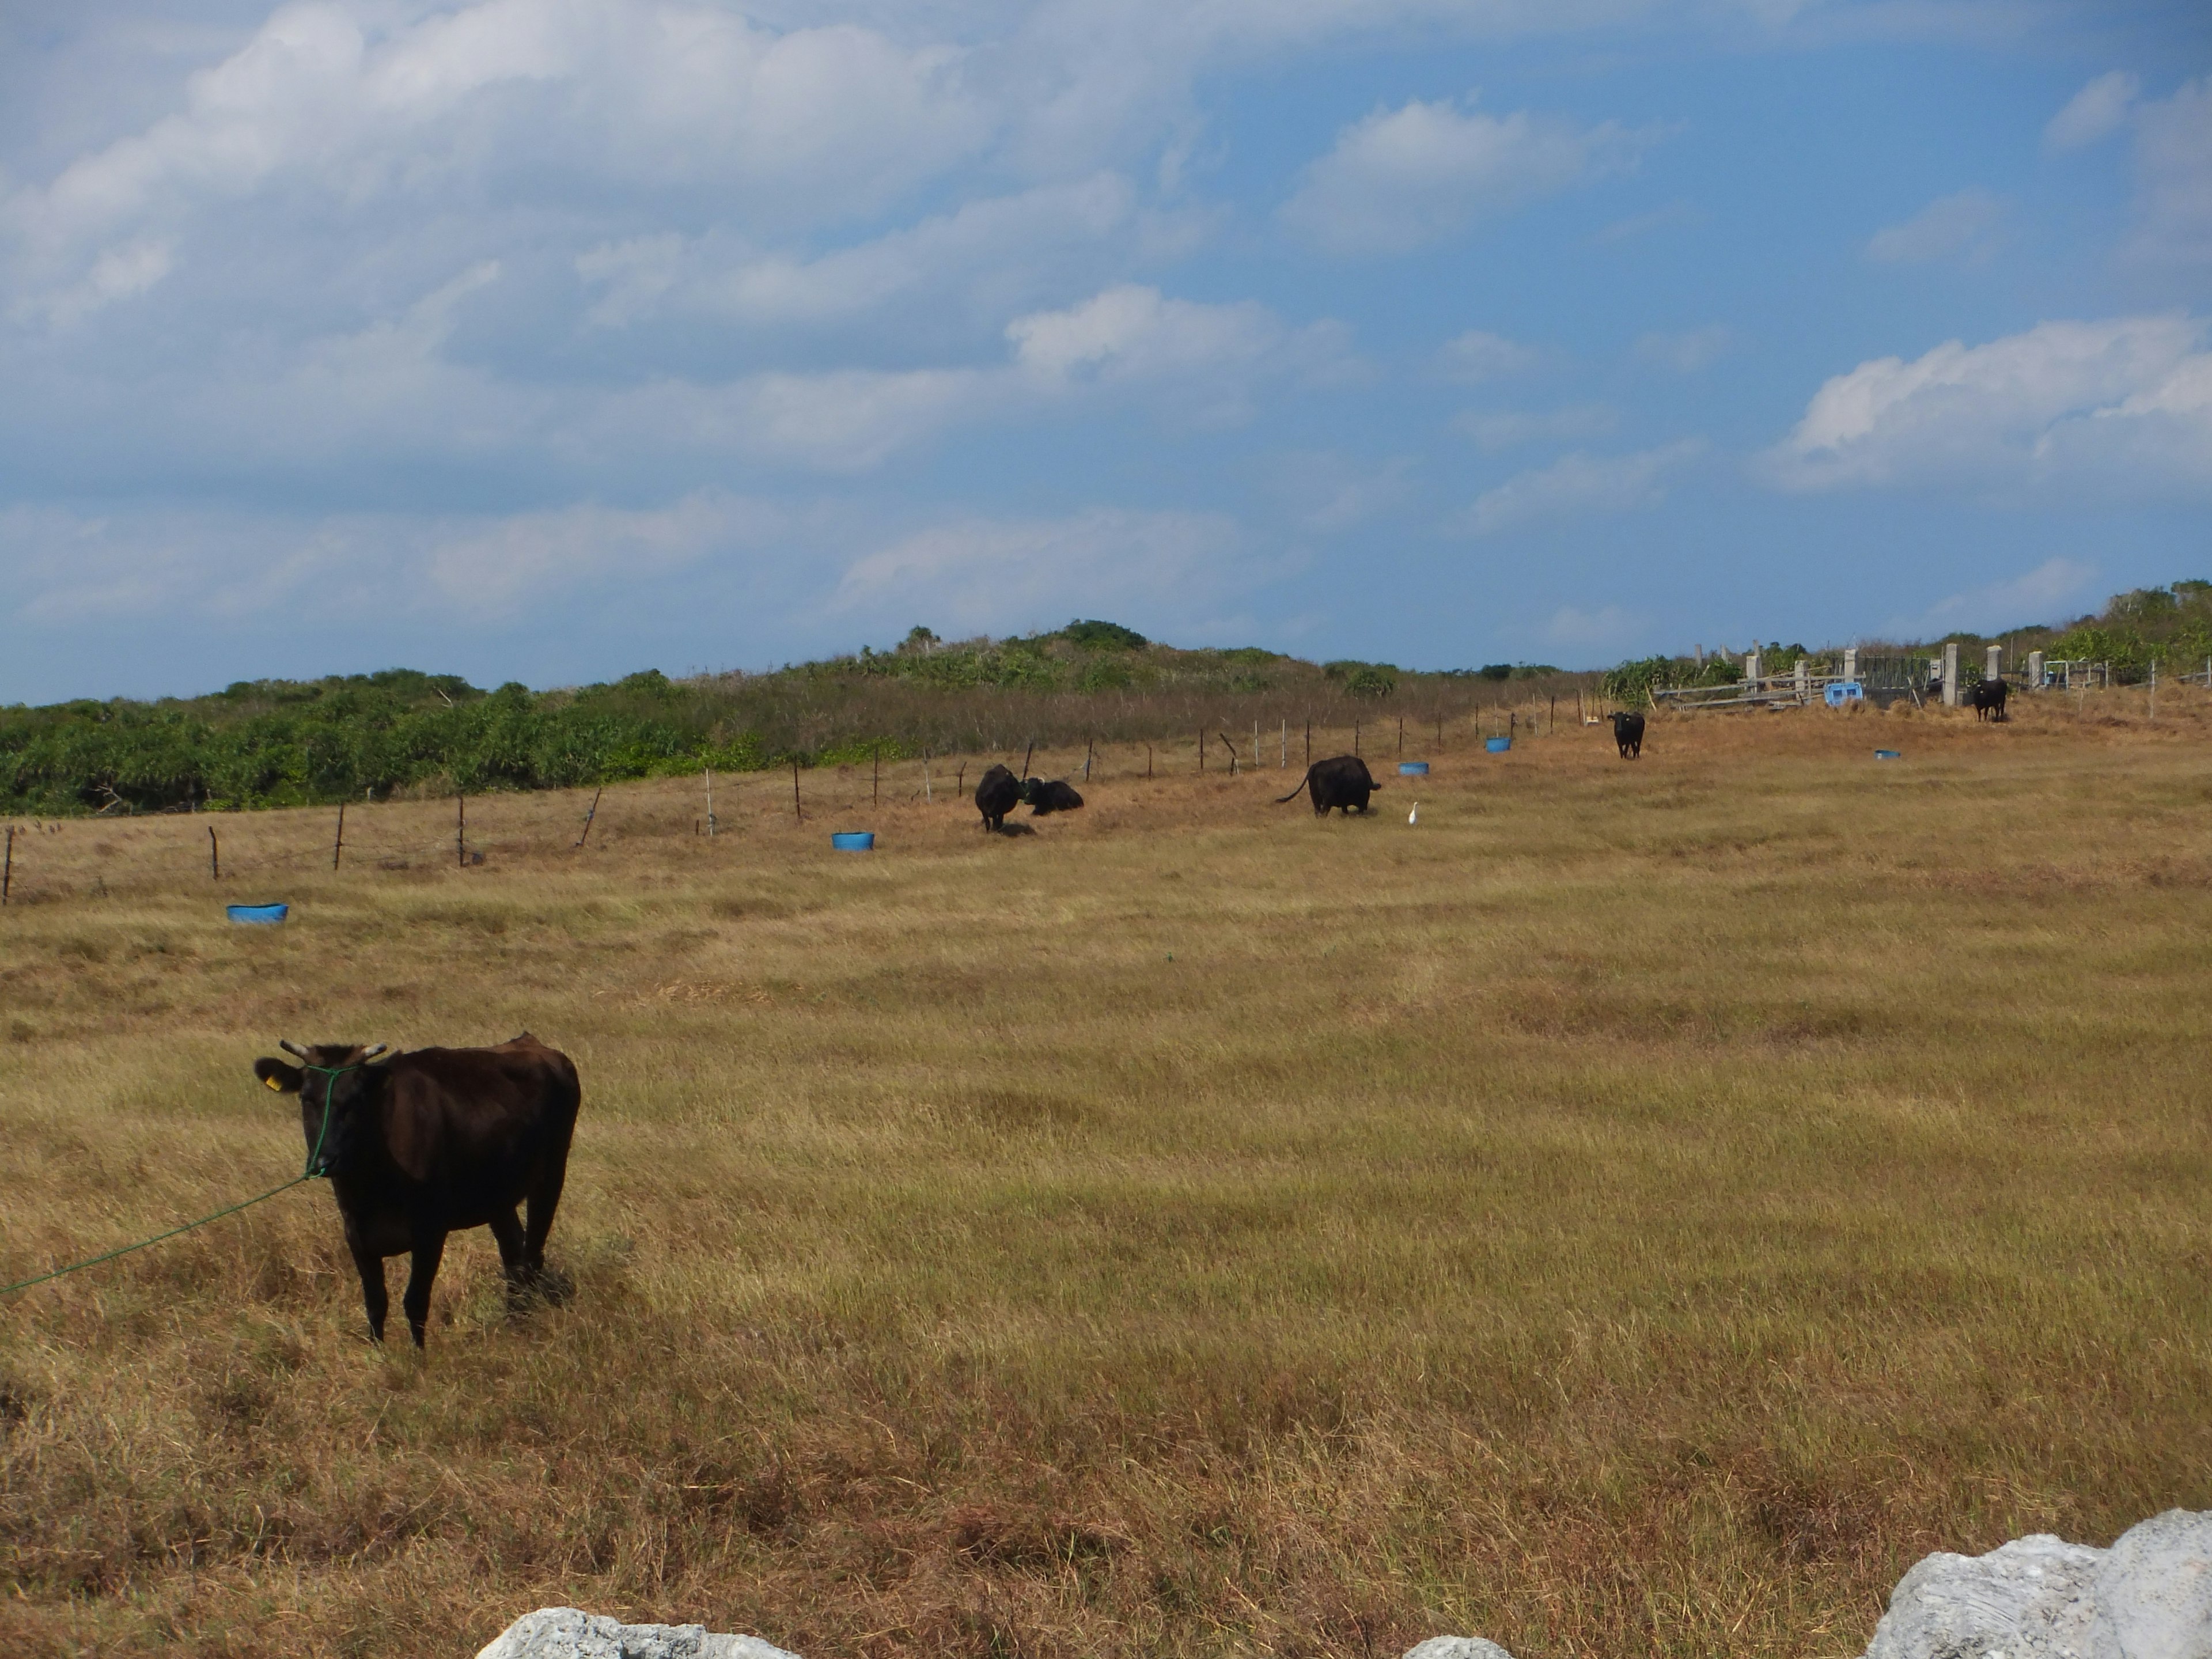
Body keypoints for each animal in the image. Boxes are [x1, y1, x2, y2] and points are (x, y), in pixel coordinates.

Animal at [253, 1039, 579, 1354]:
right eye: (306, 1098)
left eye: (357, 1100)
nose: (325, 1160)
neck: (372, 1185)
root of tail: (534, 1045)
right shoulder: (355, 1234)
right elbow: (376, 1302)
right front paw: (378, 1354)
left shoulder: (430, 1231)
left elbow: (416, 1301)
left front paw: (418, 1358)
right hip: (498, 1195)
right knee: (513, 1255)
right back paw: (513, 1320)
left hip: (551, 1174)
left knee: (532, 1254)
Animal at [1283, 760, 1380, 818]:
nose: (1366, 808)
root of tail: (1317, 765)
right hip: (1327, 800)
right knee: (1324, 811)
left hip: (1315, 797)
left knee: (1318, 811)